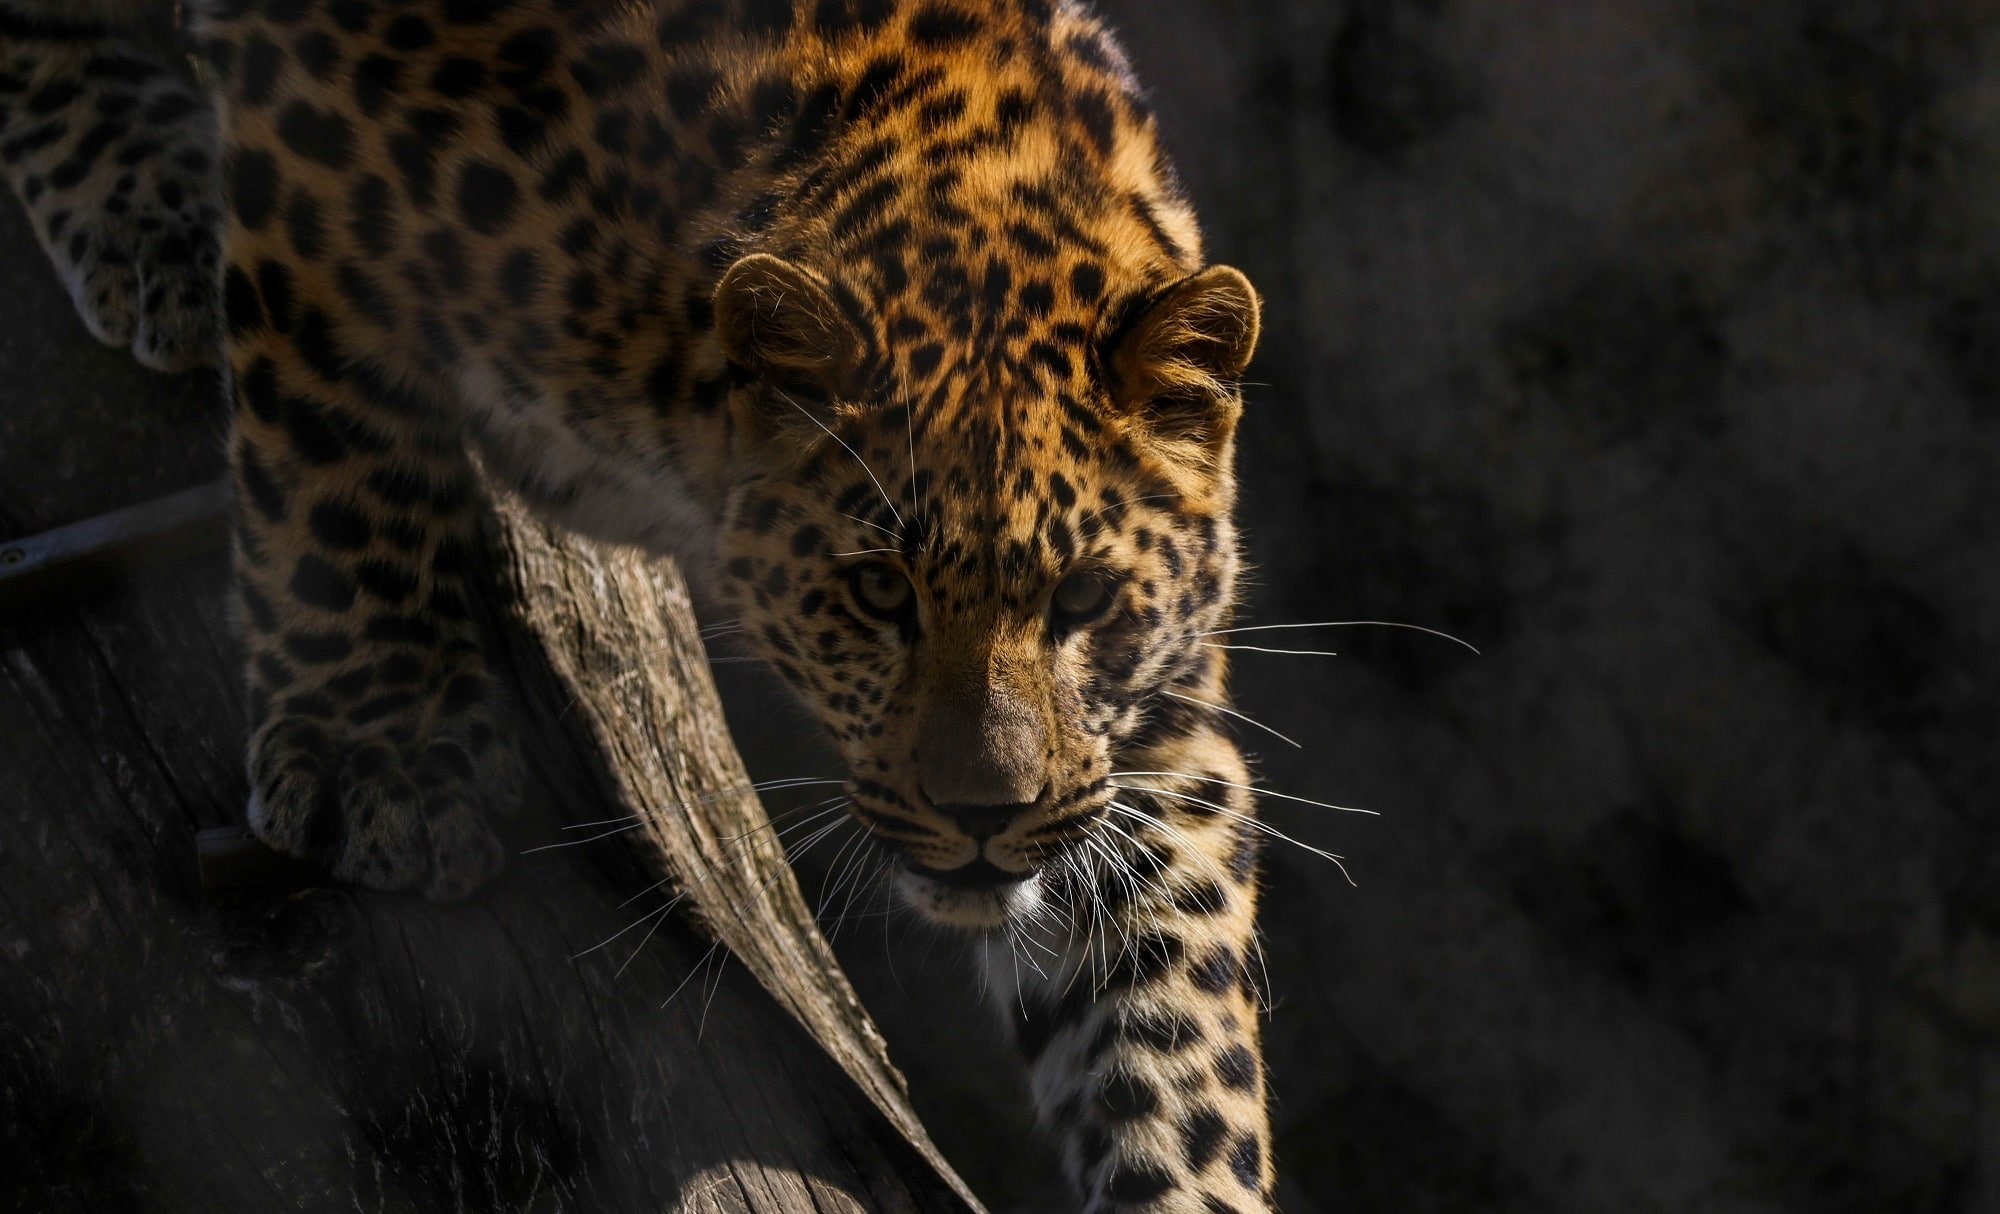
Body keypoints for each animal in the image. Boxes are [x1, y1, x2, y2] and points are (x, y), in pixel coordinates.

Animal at [1, 1, 1277, 1209]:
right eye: (876, 589)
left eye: (1083, 595)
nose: (981, 813)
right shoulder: (311, 133)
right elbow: (329, 440)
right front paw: (382, 756)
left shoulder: (1142, 730)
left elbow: (1175, 1016)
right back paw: (149, 206)